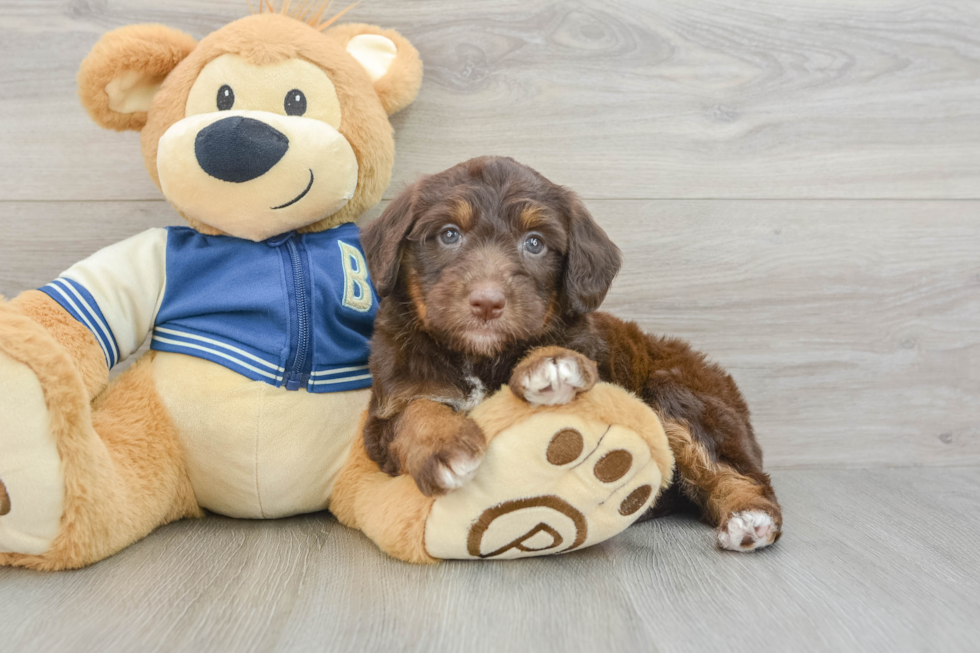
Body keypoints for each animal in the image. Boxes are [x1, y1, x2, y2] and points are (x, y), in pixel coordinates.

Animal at [360, 157, 780, 552]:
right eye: (449, 235)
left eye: (534, 243)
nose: (487, 303)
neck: (479, 356)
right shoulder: (387, 406)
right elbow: (416, 411)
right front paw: (444, 447)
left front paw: (550, 365)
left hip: (681, 393)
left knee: (735, 470)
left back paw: (749, 517)